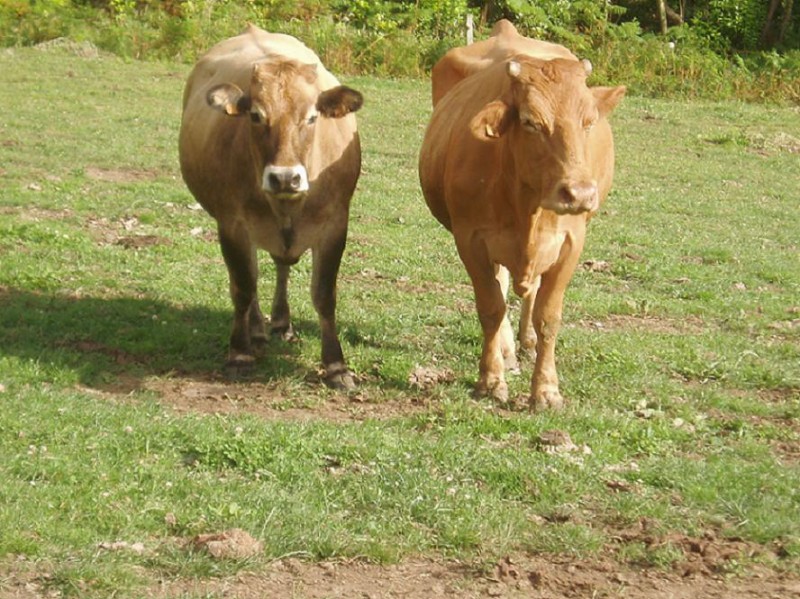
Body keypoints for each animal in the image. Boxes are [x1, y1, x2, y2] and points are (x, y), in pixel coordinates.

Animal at [179, 24, 362, 390]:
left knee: (281, 266)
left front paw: (336, 366)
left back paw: (280, 323)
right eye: (256, 115)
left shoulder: (335, 225)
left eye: (312, 117)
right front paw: (239, 354)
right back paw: (258, 330)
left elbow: (325, 294)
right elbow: (242, 287)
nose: (285, 178)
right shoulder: (232, 225)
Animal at [418, 21, 624, 410]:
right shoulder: (470, 240)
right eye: (530, 122)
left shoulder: (571, 242)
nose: (580, 194)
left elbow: (549, 317)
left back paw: (526, 344)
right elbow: (491, 308)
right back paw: (508, 351)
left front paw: (546, 389)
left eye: (588, 122)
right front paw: (490, 380)